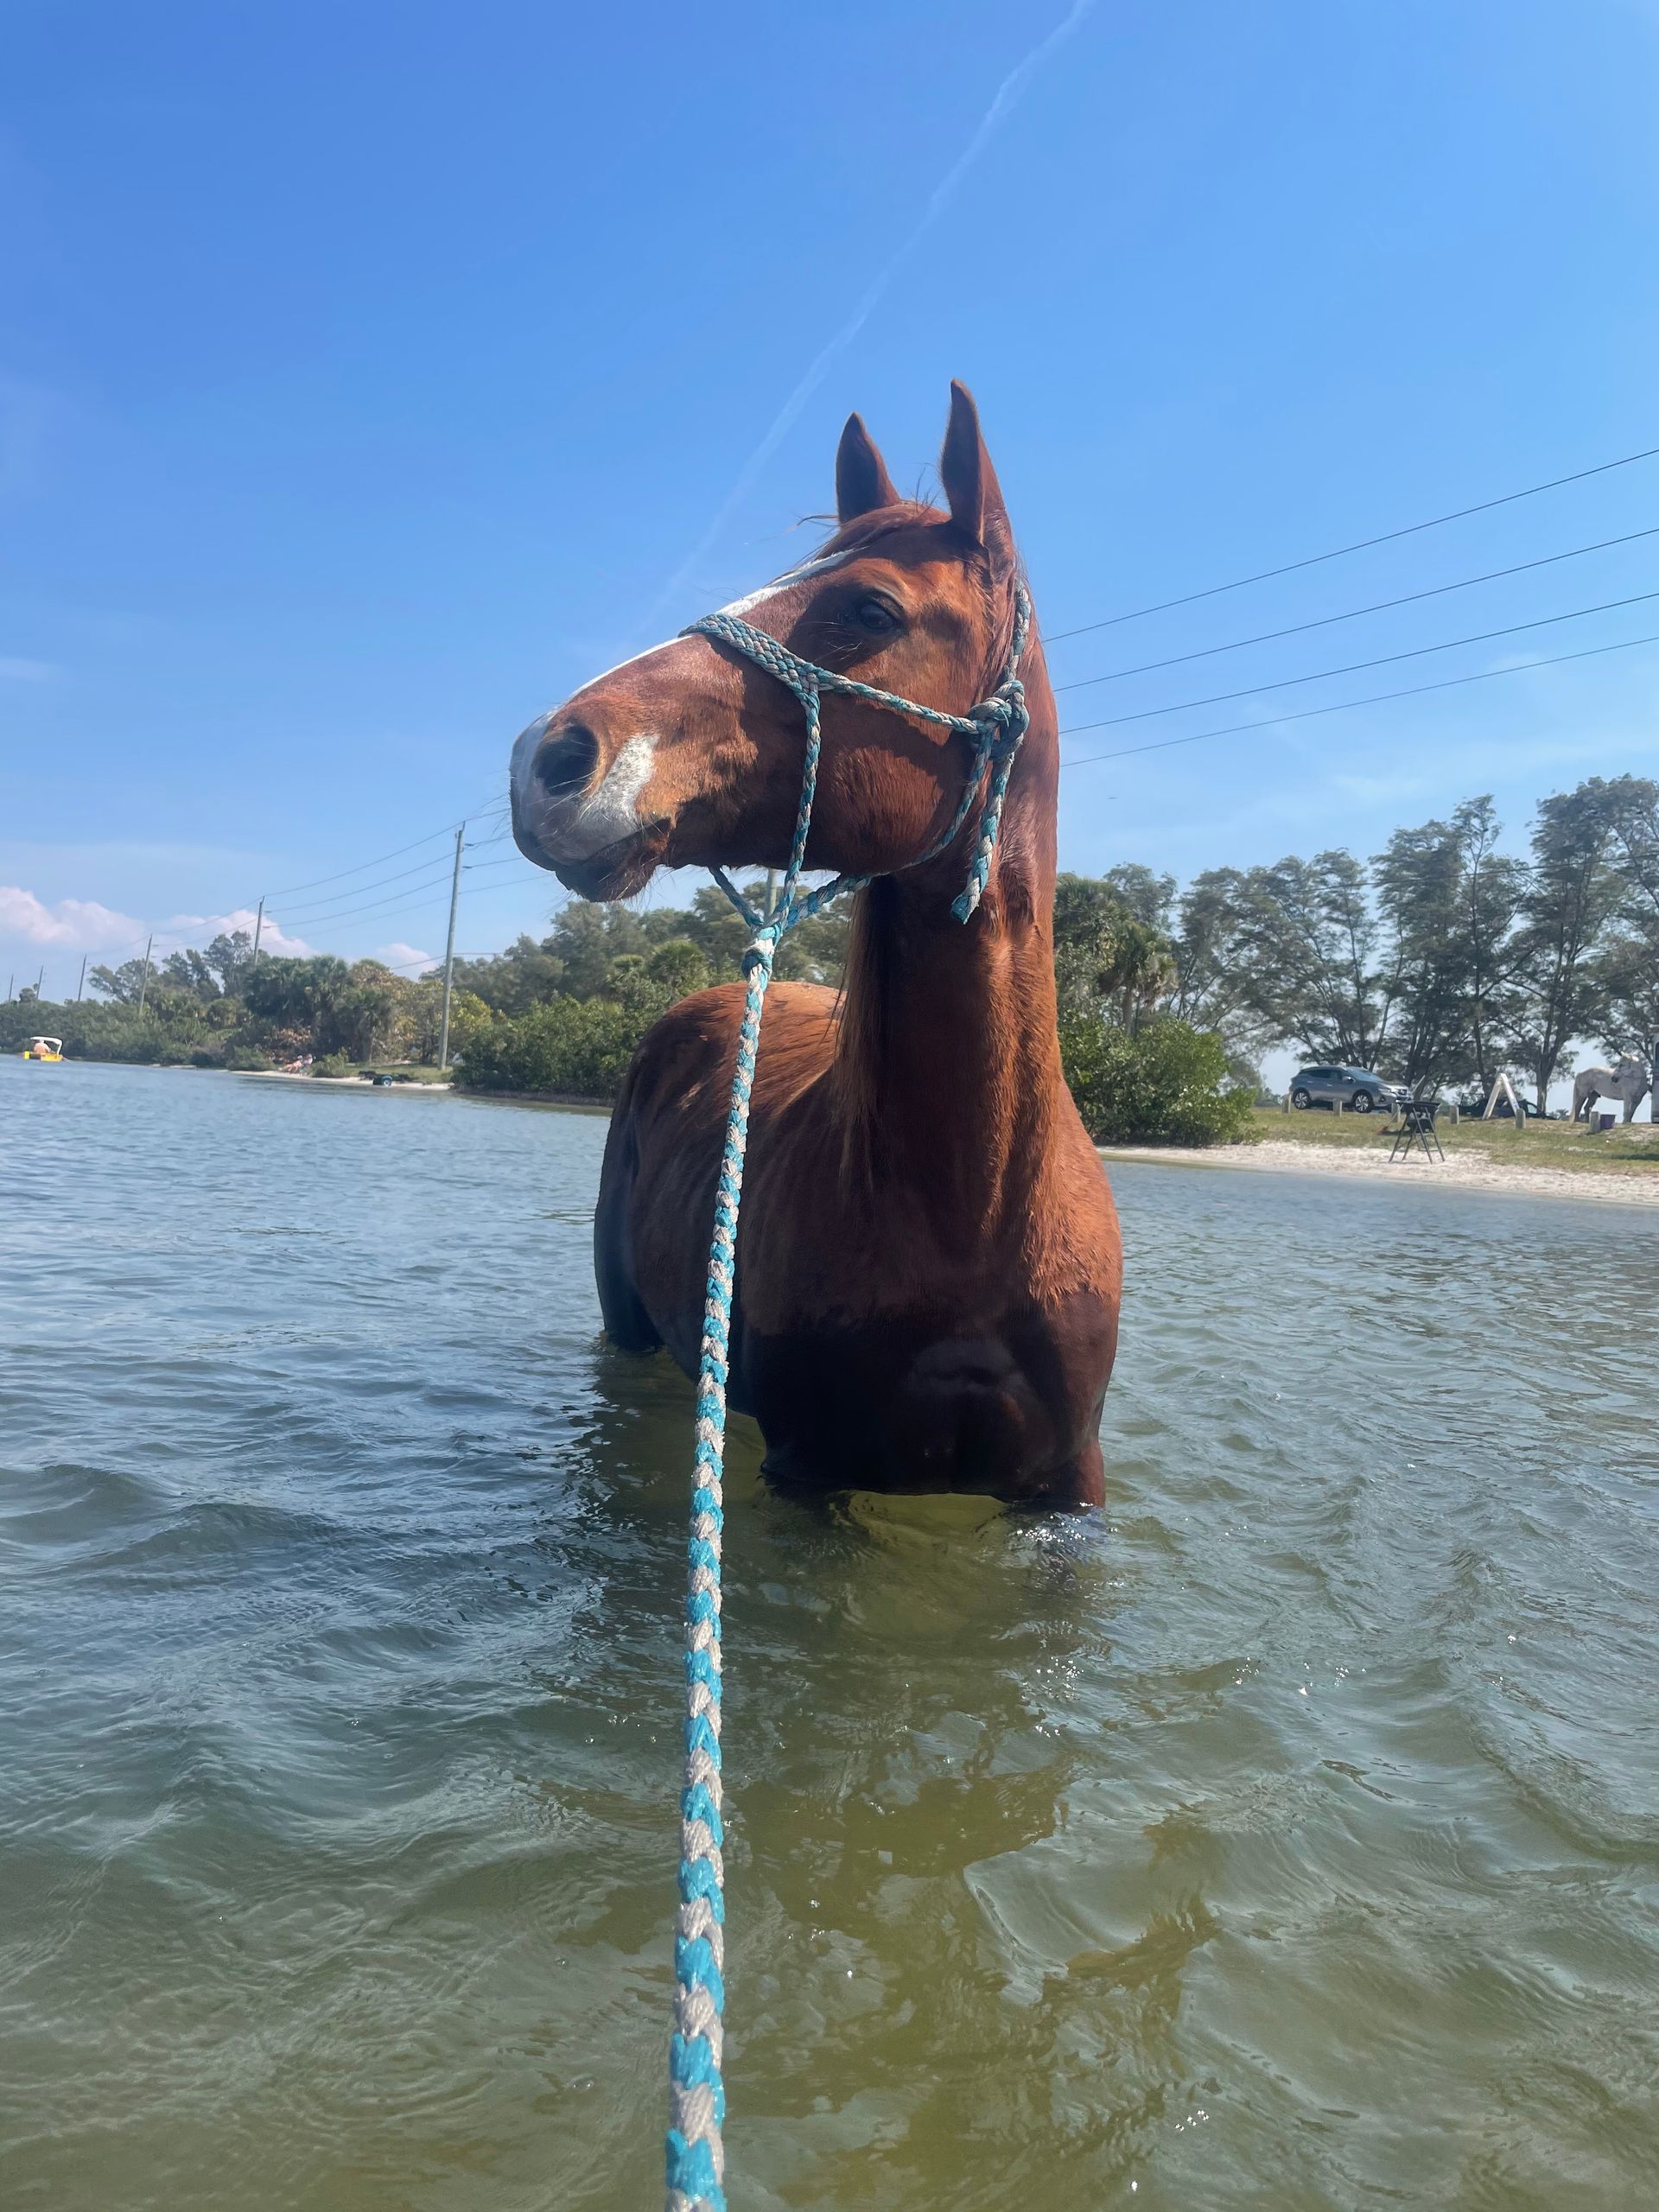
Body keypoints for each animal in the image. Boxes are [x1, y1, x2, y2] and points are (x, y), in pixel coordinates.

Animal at [512, 389, 1123, 1513]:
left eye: (872, 609)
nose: (551, 757)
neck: (972, 1209)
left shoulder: (1069, 1492)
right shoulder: (810, 1473)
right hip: (631, 1333)